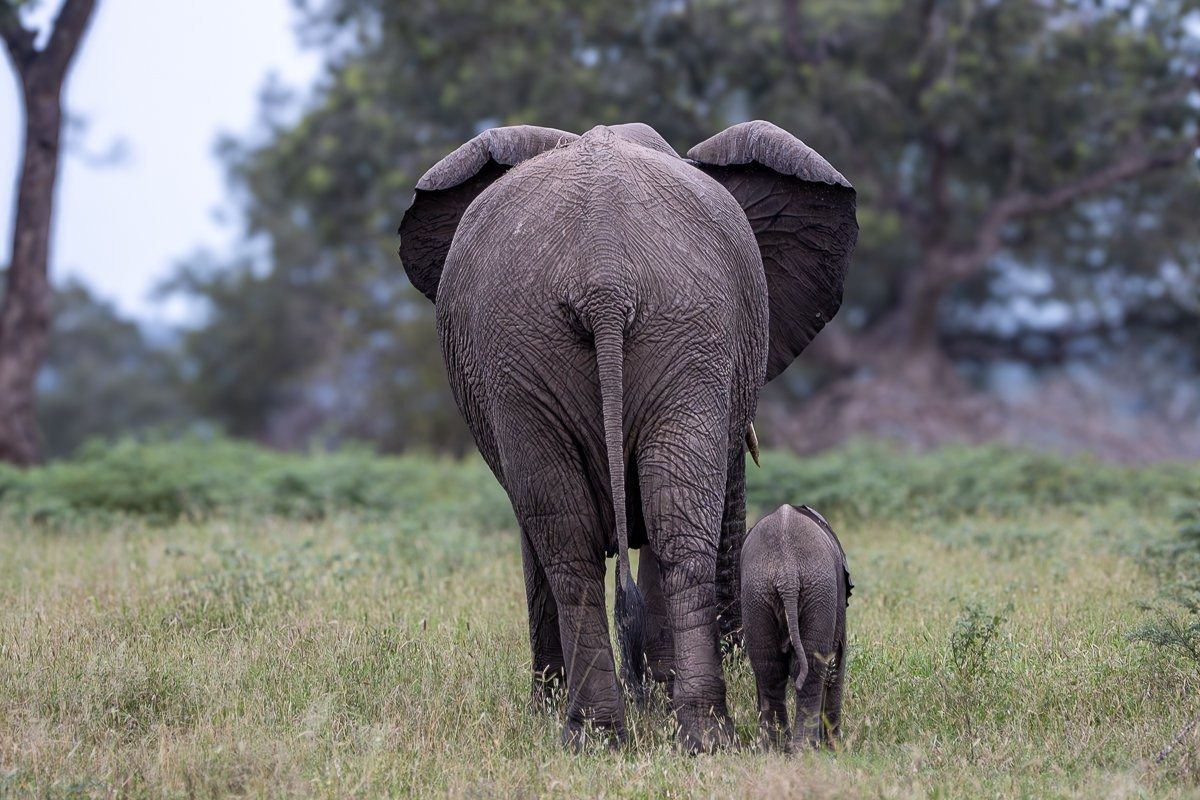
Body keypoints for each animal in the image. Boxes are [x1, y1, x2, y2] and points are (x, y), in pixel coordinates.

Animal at [741, 504, 852, 750]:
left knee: (768, 667)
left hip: (756, 593)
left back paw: (776, 748)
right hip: (819, 591)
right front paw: (835, 747)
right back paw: (806, 748)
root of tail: (787, 572)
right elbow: (837, 661)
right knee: (813, 665)